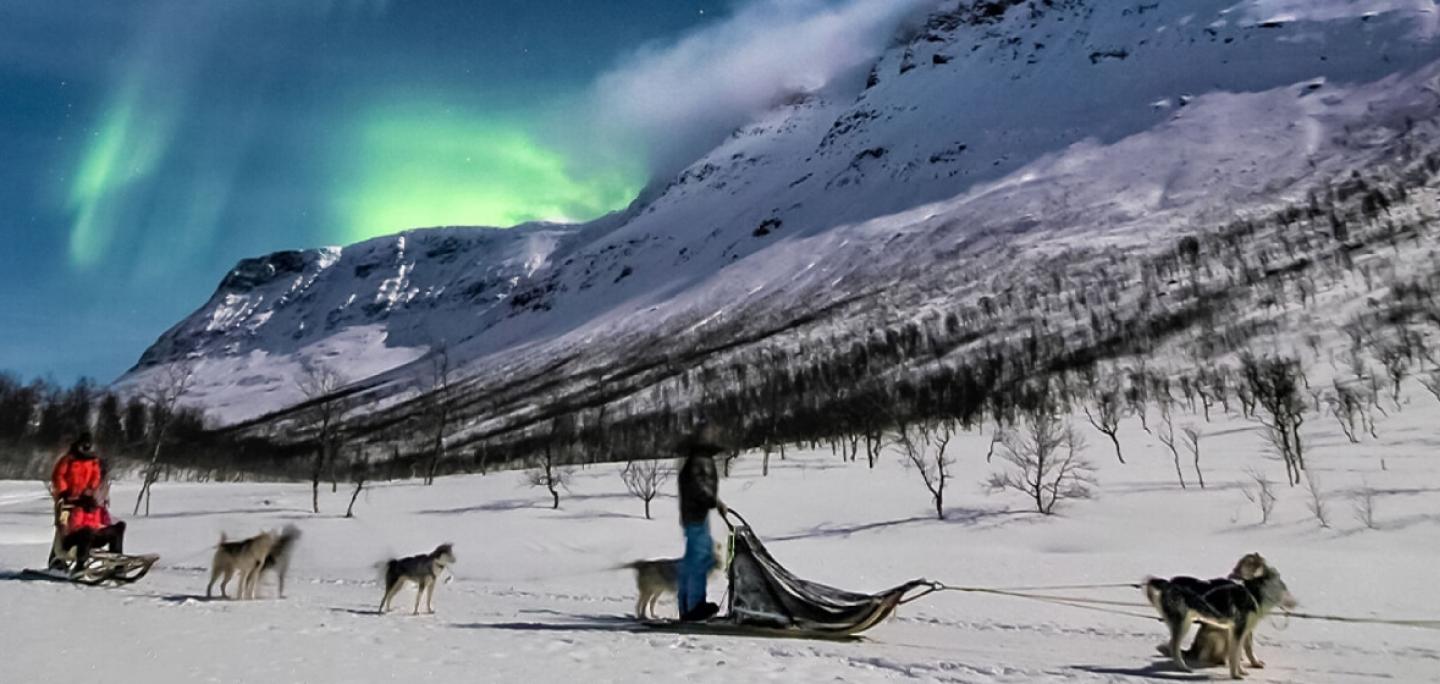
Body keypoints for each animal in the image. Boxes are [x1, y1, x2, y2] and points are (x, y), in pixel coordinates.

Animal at [1140, 552, 1301, 682]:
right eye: (1277, 577)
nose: (1286, 588)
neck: (1251, 593)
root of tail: (1167, 583)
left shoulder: (1240, 631)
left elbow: (1239, 653)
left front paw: (1241, 671)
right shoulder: (1238, 631)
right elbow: (1235, 656)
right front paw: (1236, 675)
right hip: (1185, 625)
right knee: (1174, 647)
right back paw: (1184, 668)